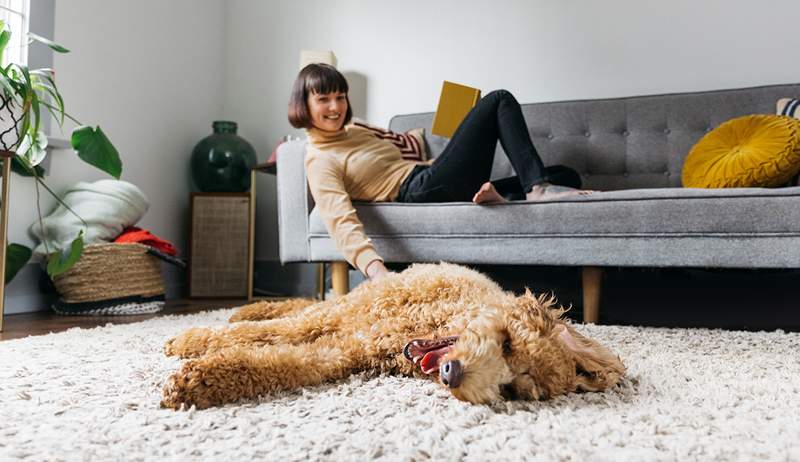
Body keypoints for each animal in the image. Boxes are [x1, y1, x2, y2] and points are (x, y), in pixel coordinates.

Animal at [161, 262, 624, 410]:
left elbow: (285, 361)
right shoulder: (339, 324)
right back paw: (243, 311)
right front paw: (188, 344)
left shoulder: (345, 350)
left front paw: (199, 381)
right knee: (297, 308)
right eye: (507, 342)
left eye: (511, 389)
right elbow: (270, 333)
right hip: (344, 305)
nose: (454, 375)